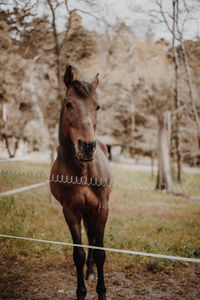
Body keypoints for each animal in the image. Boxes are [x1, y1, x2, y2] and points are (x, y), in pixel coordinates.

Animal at [49, 66, 112, 300]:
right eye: (69, 104)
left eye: (97, 106)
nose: (87, 147)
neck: (82, 172)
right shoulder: (71, 212)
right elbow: (78, 254)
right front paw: (81, 292)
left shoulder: (102, 209)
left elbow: (100, 251)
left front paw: (101, 292)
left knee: (93, 239)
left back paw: (92, 272)